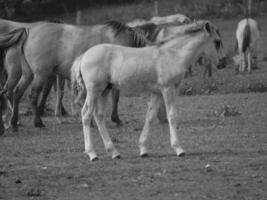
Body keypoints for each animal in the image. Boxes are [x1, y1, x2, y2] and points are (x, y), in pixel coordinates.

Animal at [6, 20, 149, 130]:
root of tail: (29, 31)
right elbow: (115, 98)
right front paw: (115, 119)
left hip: (28, 74)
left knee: (17, 93)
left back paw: (14, 123)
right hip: (40, 75)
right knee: (33, 96)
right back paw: (38, 122)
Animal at [72, 20, 227, 161]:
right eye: (217, 41)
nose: (223, 63)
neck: (173, 54)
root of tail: (83, 56)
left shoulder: (157, 93)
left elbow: (150, 116)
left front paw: (143, 149)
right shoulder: (168, 88)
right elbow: (172, 115)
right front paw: (179, 149)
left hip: (105, 91)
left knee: (99, 116)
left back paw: (114, 152)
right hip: (94, 91)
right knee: (86, 114)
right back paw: (92, 154)